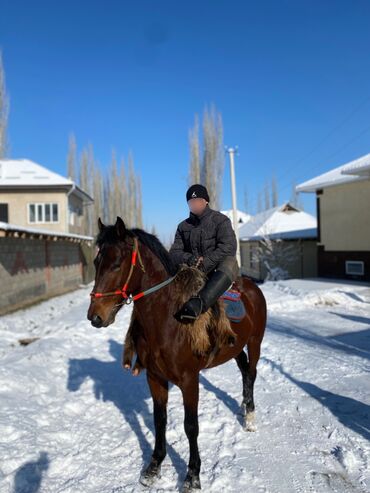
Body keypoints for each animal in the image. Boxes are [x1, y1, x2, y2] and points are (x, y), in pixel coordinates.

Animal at [86, 216, 266, 492]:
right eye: (97, 262)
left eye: (116, 264)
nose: (95, 316)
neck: (167, 320)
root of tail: (252, 287)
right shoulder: (155, 377)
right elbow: (159, 420)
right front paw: (153, 466)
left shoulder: (189, 380)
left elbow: (191, 426)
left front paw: (192, 475)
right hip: (236, 347)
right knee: (245, 373)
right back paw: (244, 408)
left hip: (255, 343)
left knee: (252, 373)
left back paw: (250, 417)